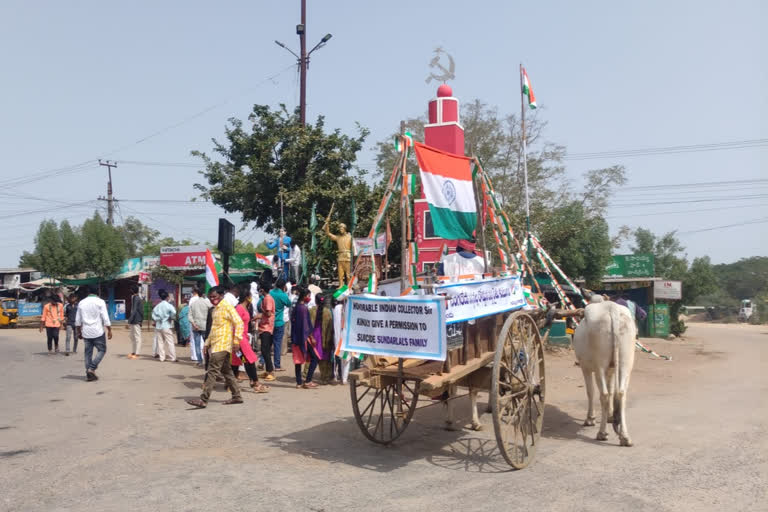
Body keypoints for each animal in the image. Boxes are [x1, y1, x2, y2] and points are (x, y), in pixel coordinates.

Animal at [576, 298, 636, 446]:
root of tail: (612, 308)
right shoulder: (612, 369)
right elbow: (611, 390)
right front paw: (610, 416)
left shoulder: (585, 367)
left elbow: (590, 392)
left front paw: (590, 419)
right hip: (626, 362)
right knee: (621, 394)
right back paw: (625, 437)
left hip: (600, 366)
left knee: (603, 394)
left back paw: (602, 433)